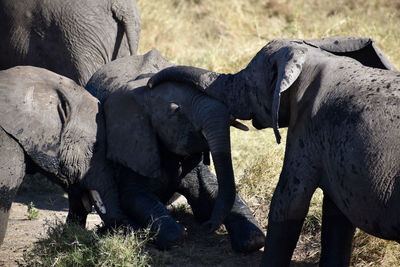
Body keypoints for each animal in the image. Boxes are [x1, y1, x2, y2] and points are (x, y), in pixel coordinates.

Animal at [86, 49, 266, 251]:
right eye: (176, 110)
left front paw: (252, 239)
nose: (209, 226)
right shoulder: (131, 148)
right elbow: (134, 196)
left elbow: (210, 189)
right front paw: (179, 232)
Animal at [147, 36, 400, 266]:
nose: (149, 84)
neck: (312, 57)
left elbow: (288, 203)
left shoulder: (308, 127)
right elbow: (336, 214)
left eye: (246, 84)